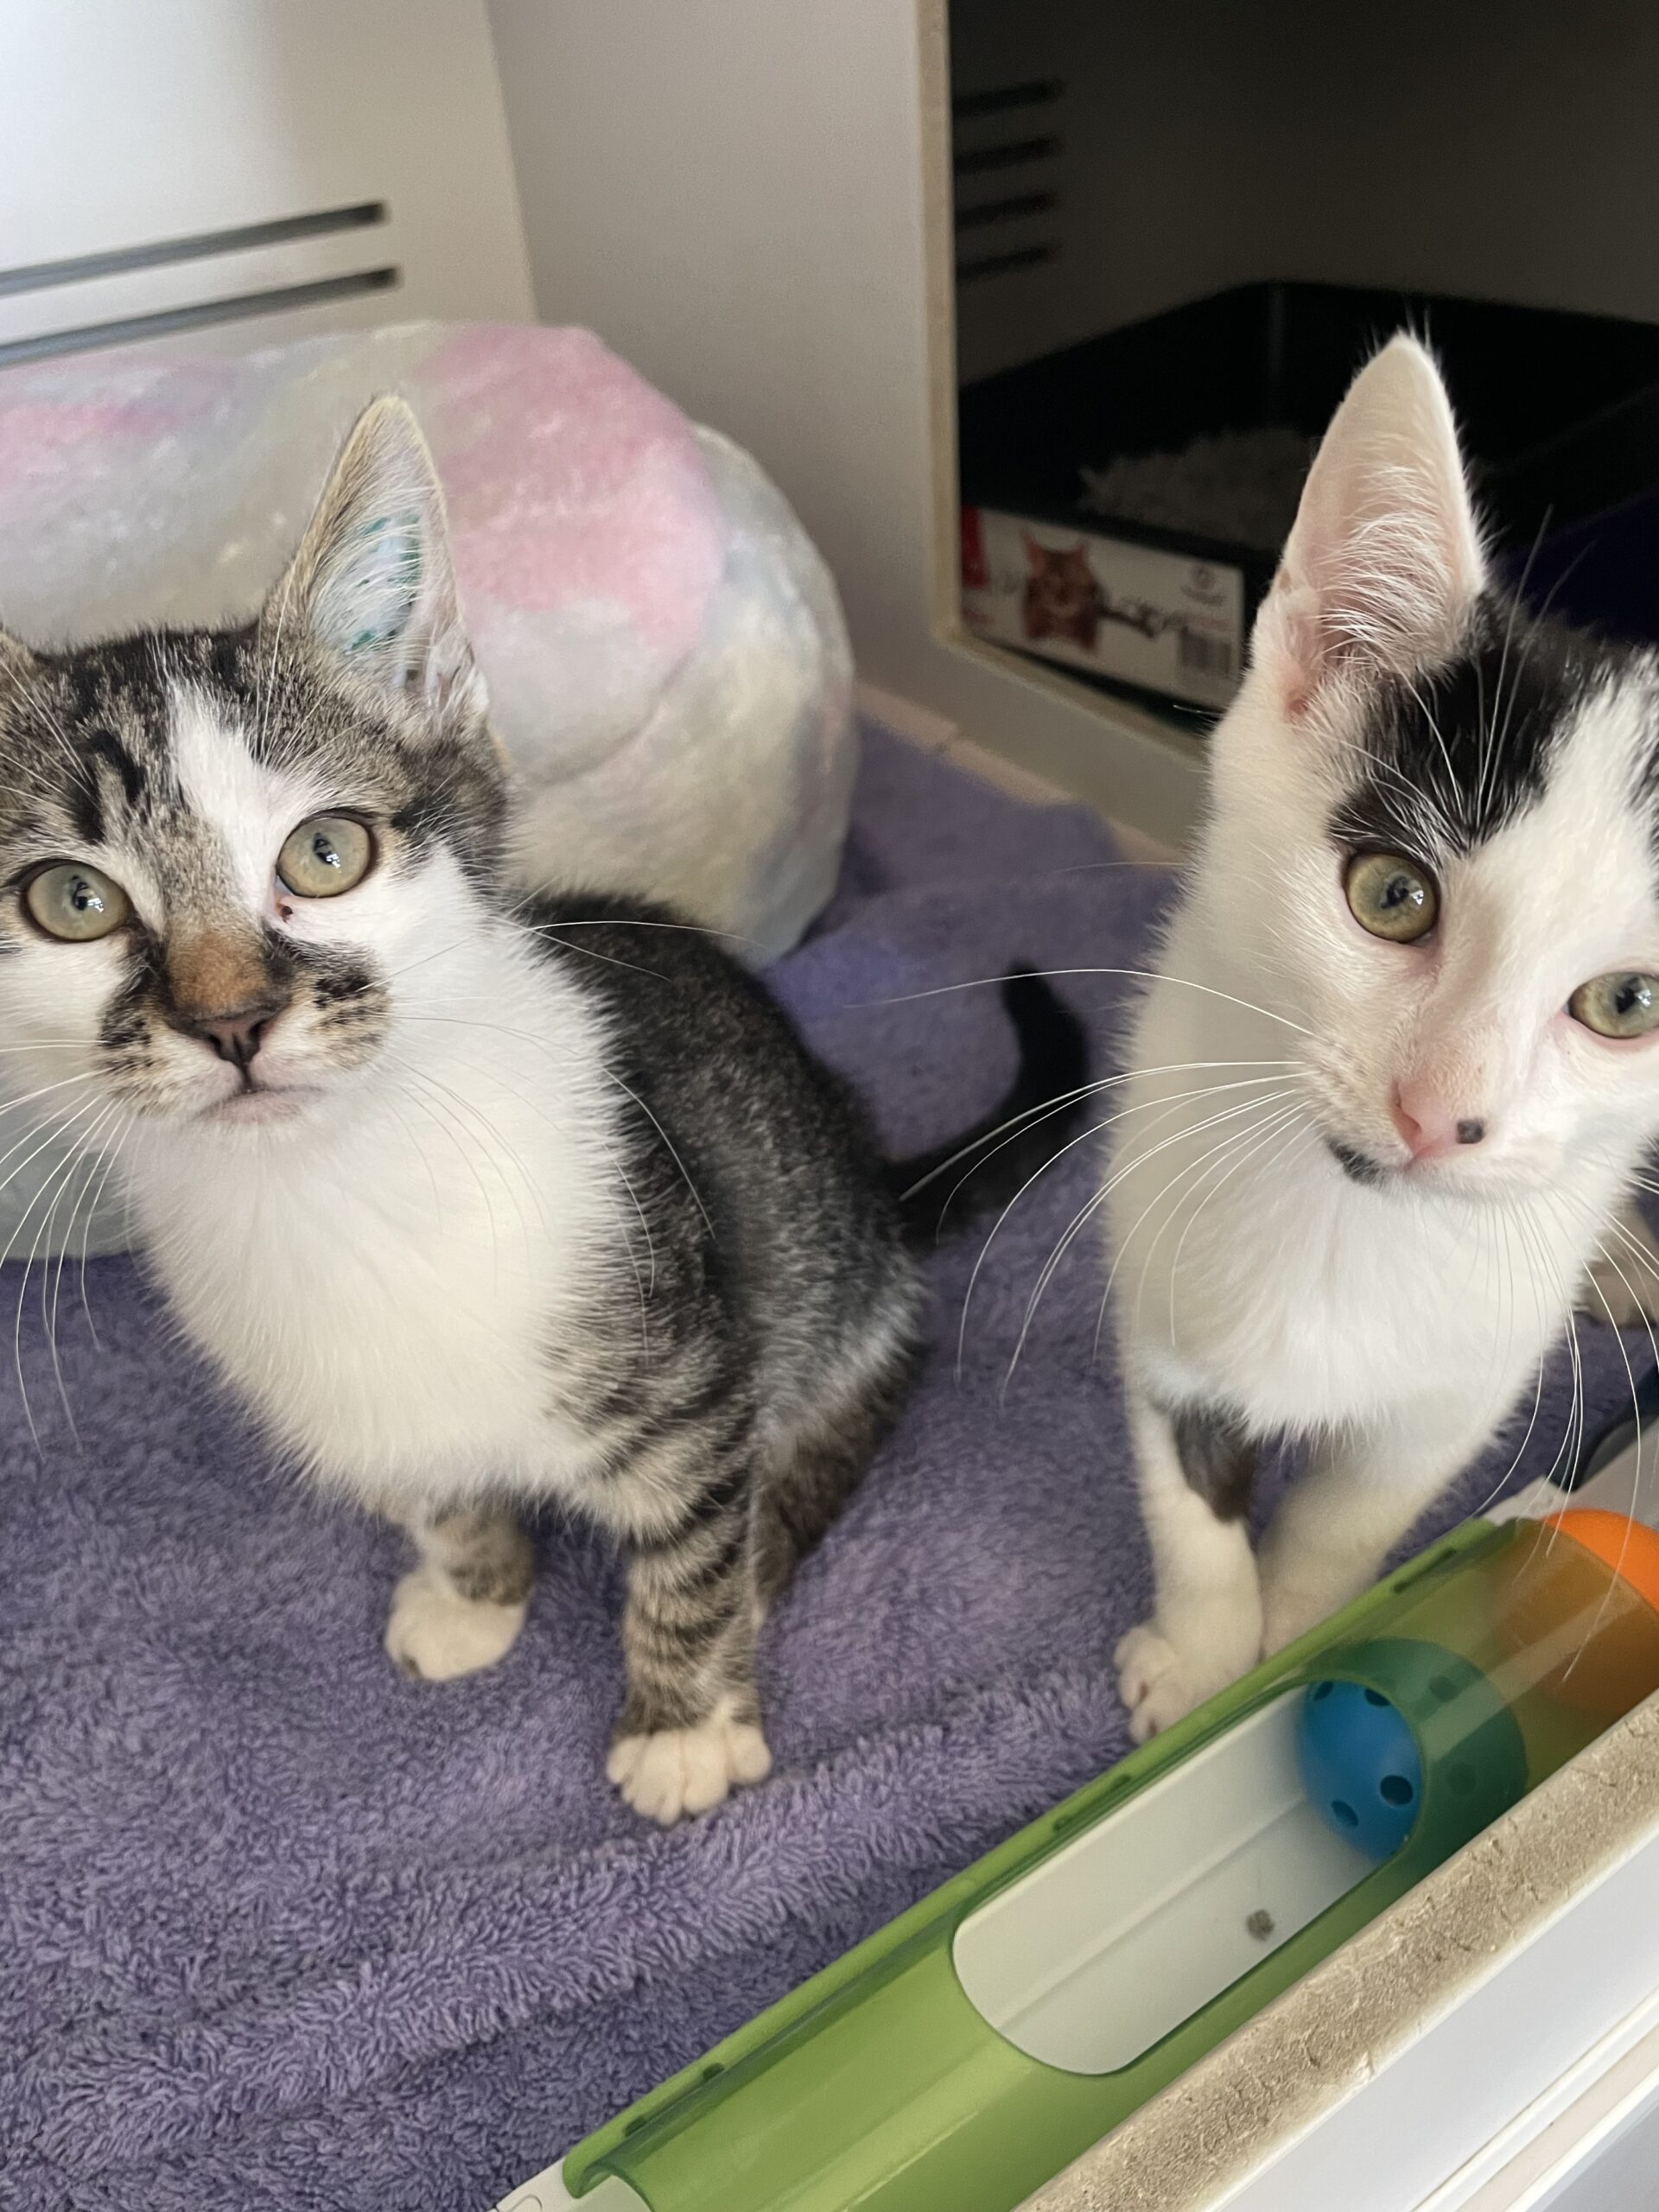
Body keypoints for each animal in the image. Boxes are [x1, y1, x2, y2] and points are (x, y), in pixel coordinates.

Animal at [0, 397, 1084, 1822]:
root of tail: (859, 1151)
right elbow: (442, 1493)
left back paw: (768, 1557)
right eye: (72, 901)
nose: (230, 1023)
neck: (336, 1184)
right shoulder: (377, 1409)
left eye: (325, 854)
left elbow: (689, 1550)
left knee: (860, 1389)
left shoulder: (695, 1365)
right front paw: (473, 1592)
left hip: (825, 1266)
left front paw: (683, 1719)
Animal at [1108, 334, 1659, 1742]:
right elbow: (1187, 1496)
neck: (1349, 1224)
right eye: (1392, 894)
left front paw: (1305, 1628)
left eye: (1627, 1003)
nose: (1435, 1115)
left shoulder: (1460, 1385)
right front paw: (1204, 1663)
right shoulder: (1160, 1280)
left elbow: (1355, 1513)